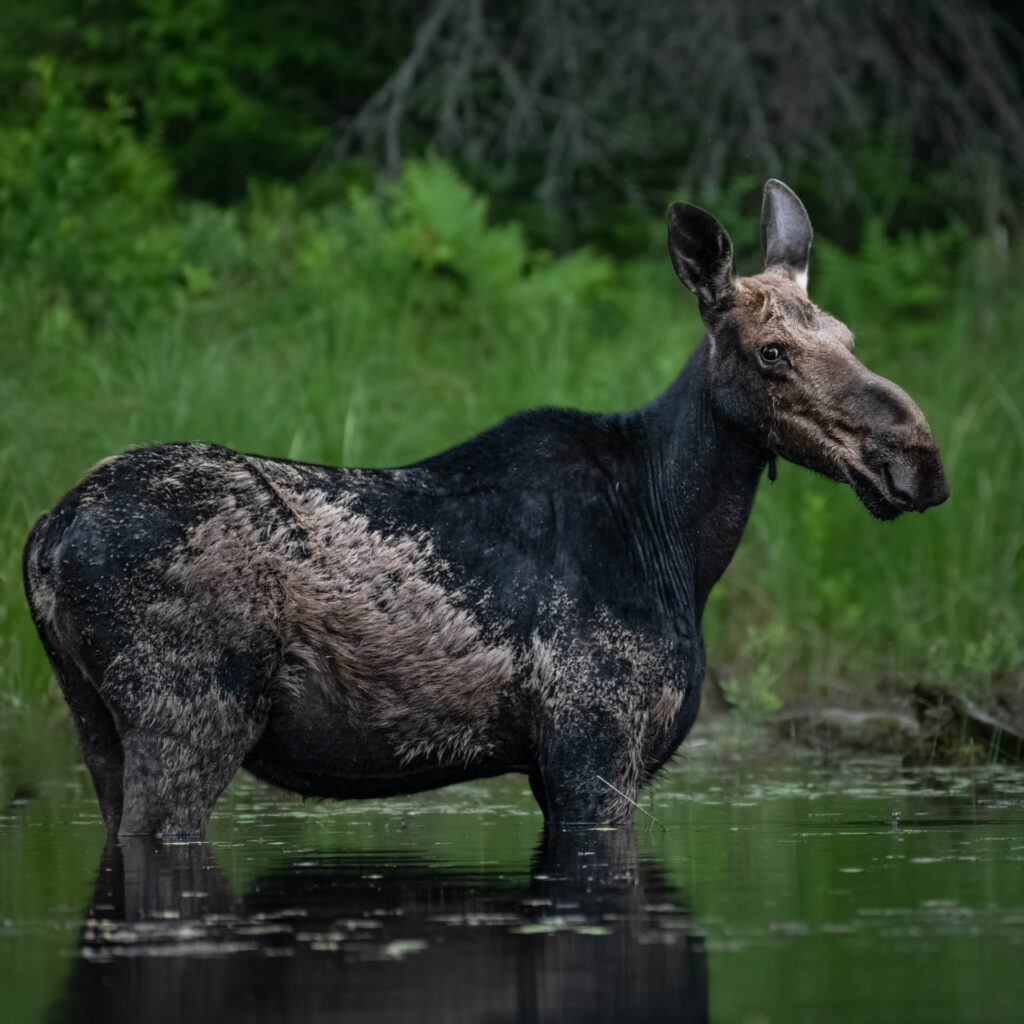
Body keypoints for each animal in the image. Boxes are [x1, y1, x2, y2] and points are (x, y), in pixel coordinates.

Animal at [25, 180, 950, 835]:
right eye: (771, 353)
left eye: (850, 338)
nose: (920, 460)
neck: (679, 540)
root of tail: (46, 538)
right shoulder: (593, 748)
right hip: (189, 715)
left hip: (92, 719)